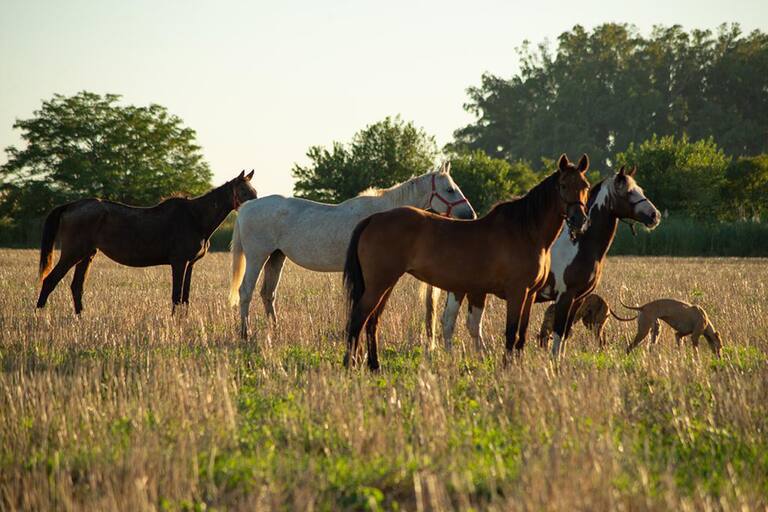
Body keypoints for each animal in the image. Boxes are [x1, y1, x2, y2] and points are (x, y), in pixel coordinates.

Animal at [35, 170, 258, 314]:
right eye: (244, 192)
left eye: (254, 192)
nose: (255, 209)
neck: (195, 217)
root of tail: (70, 205)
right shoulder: (179, 263)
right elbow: (176, 297)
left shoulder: (190, 264)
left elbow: (185, 298)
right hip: (72, 254)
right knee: (50, 281)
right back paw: (39, 317)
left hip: (87, 255)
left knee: (76, 287)